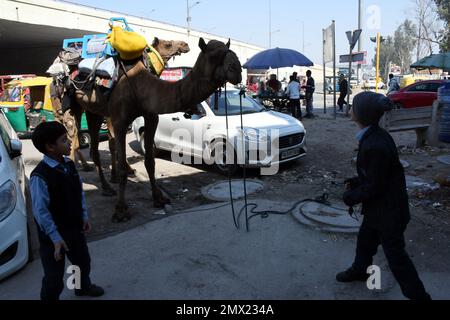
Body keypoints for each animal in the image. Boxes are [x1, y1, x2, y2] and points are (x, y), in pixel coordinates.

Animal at [51, 37, 191, 192]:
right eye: (168, 44)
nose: (185, 45)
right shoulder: (113, 115)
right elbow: (113, 143)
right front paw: (116, 175)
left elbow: (114, 143)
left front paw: (123, 172)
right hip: (70, 107)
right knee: (73, 136)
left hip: (85, 109)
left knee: (79, 140)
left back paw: (90, 171)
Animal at [81, 38, 243, 222]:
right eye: (214, 55)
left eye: (230, 50)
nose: (237, 70)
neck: (139, 85)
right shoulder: (120, 121)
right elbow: (123, 166)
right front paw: (121, 210)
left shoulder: (151, 117)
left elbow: (150, 162)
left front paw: (158, 198)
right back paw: (106, 187)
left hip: (95, 111)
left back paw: (108, 182)